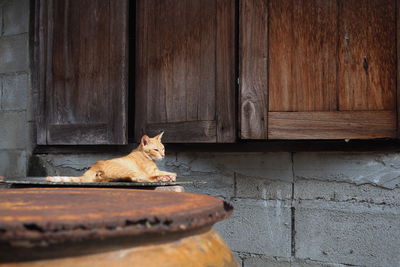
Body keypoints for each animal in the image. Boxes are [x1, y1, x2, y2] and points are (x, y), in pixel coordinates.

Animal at [45, 133, 177, 183]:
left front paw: (170, 175)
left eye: (163, 148)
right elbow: (171, 172)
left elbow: (171, 172)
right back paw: (164, 179)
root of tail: (93, 167)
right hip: (130, 170)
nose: (163, 155)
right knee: (138, 178)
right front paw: (168, 176)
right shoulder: (151, 171)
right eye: (156, 150)